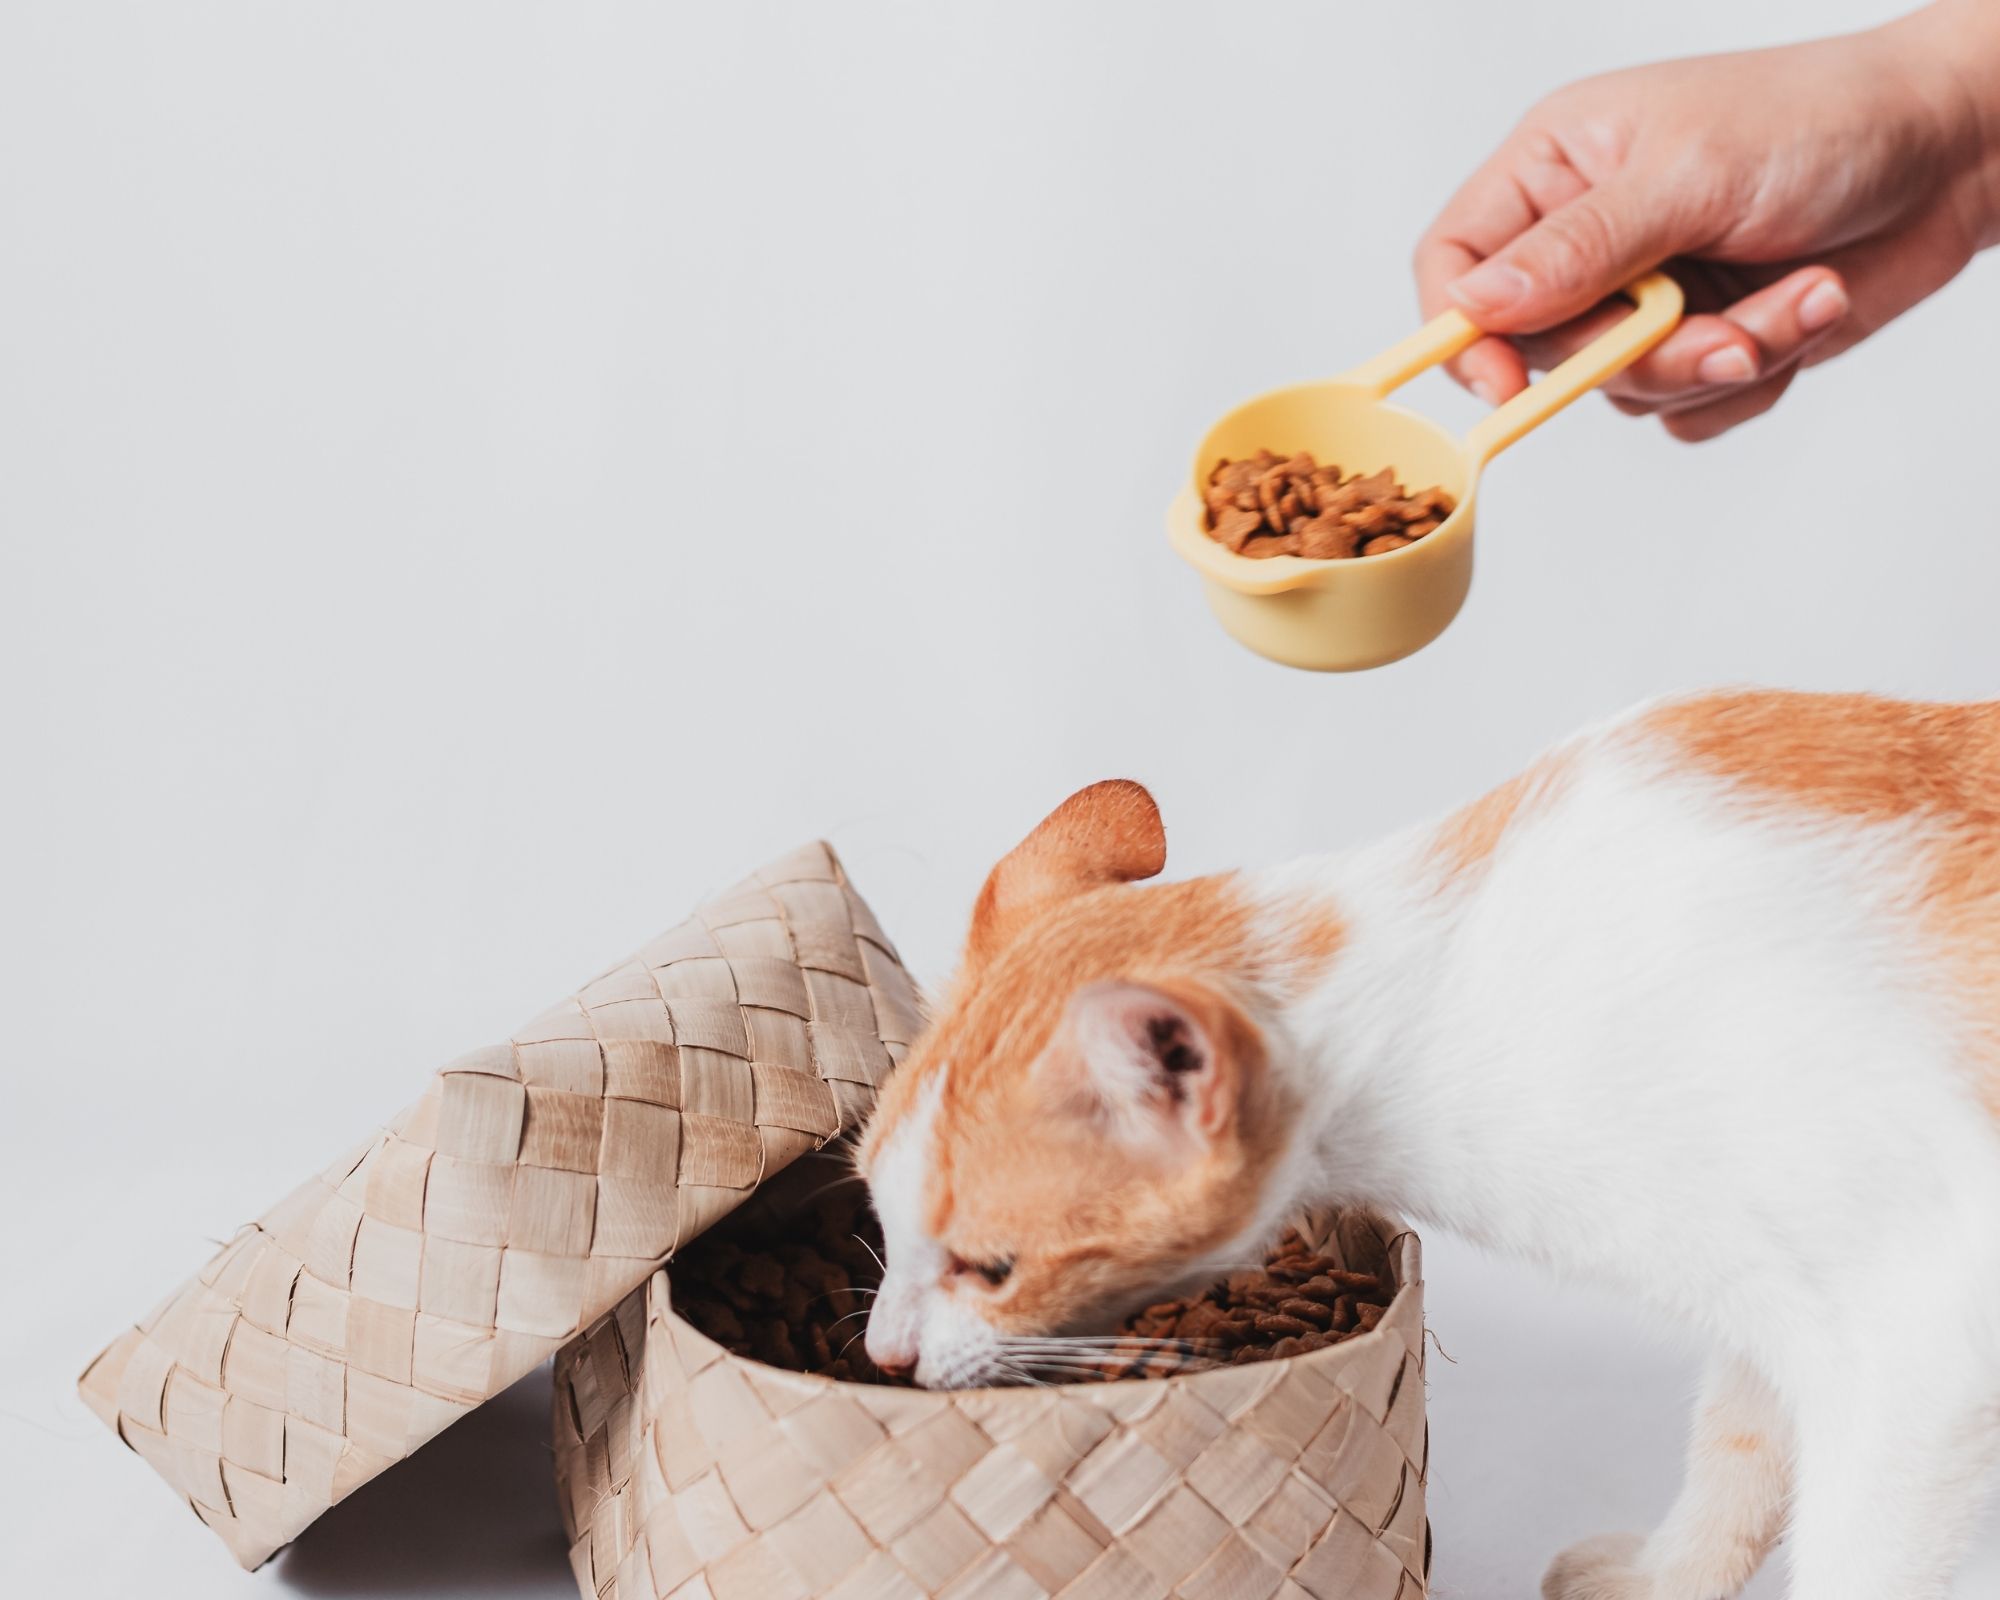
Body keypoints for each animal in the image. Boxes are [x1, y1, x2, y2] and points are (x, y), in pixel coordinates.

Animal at [860, 688, 2000, 1600]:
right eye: (875, 1210)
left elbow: (1861, 1554)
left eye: (991, 1268)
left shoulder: (1924, 1334)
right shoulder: (1778, 1298)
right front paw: (1656, 1579)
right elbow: (1737, 1450)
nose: (883, 1354)